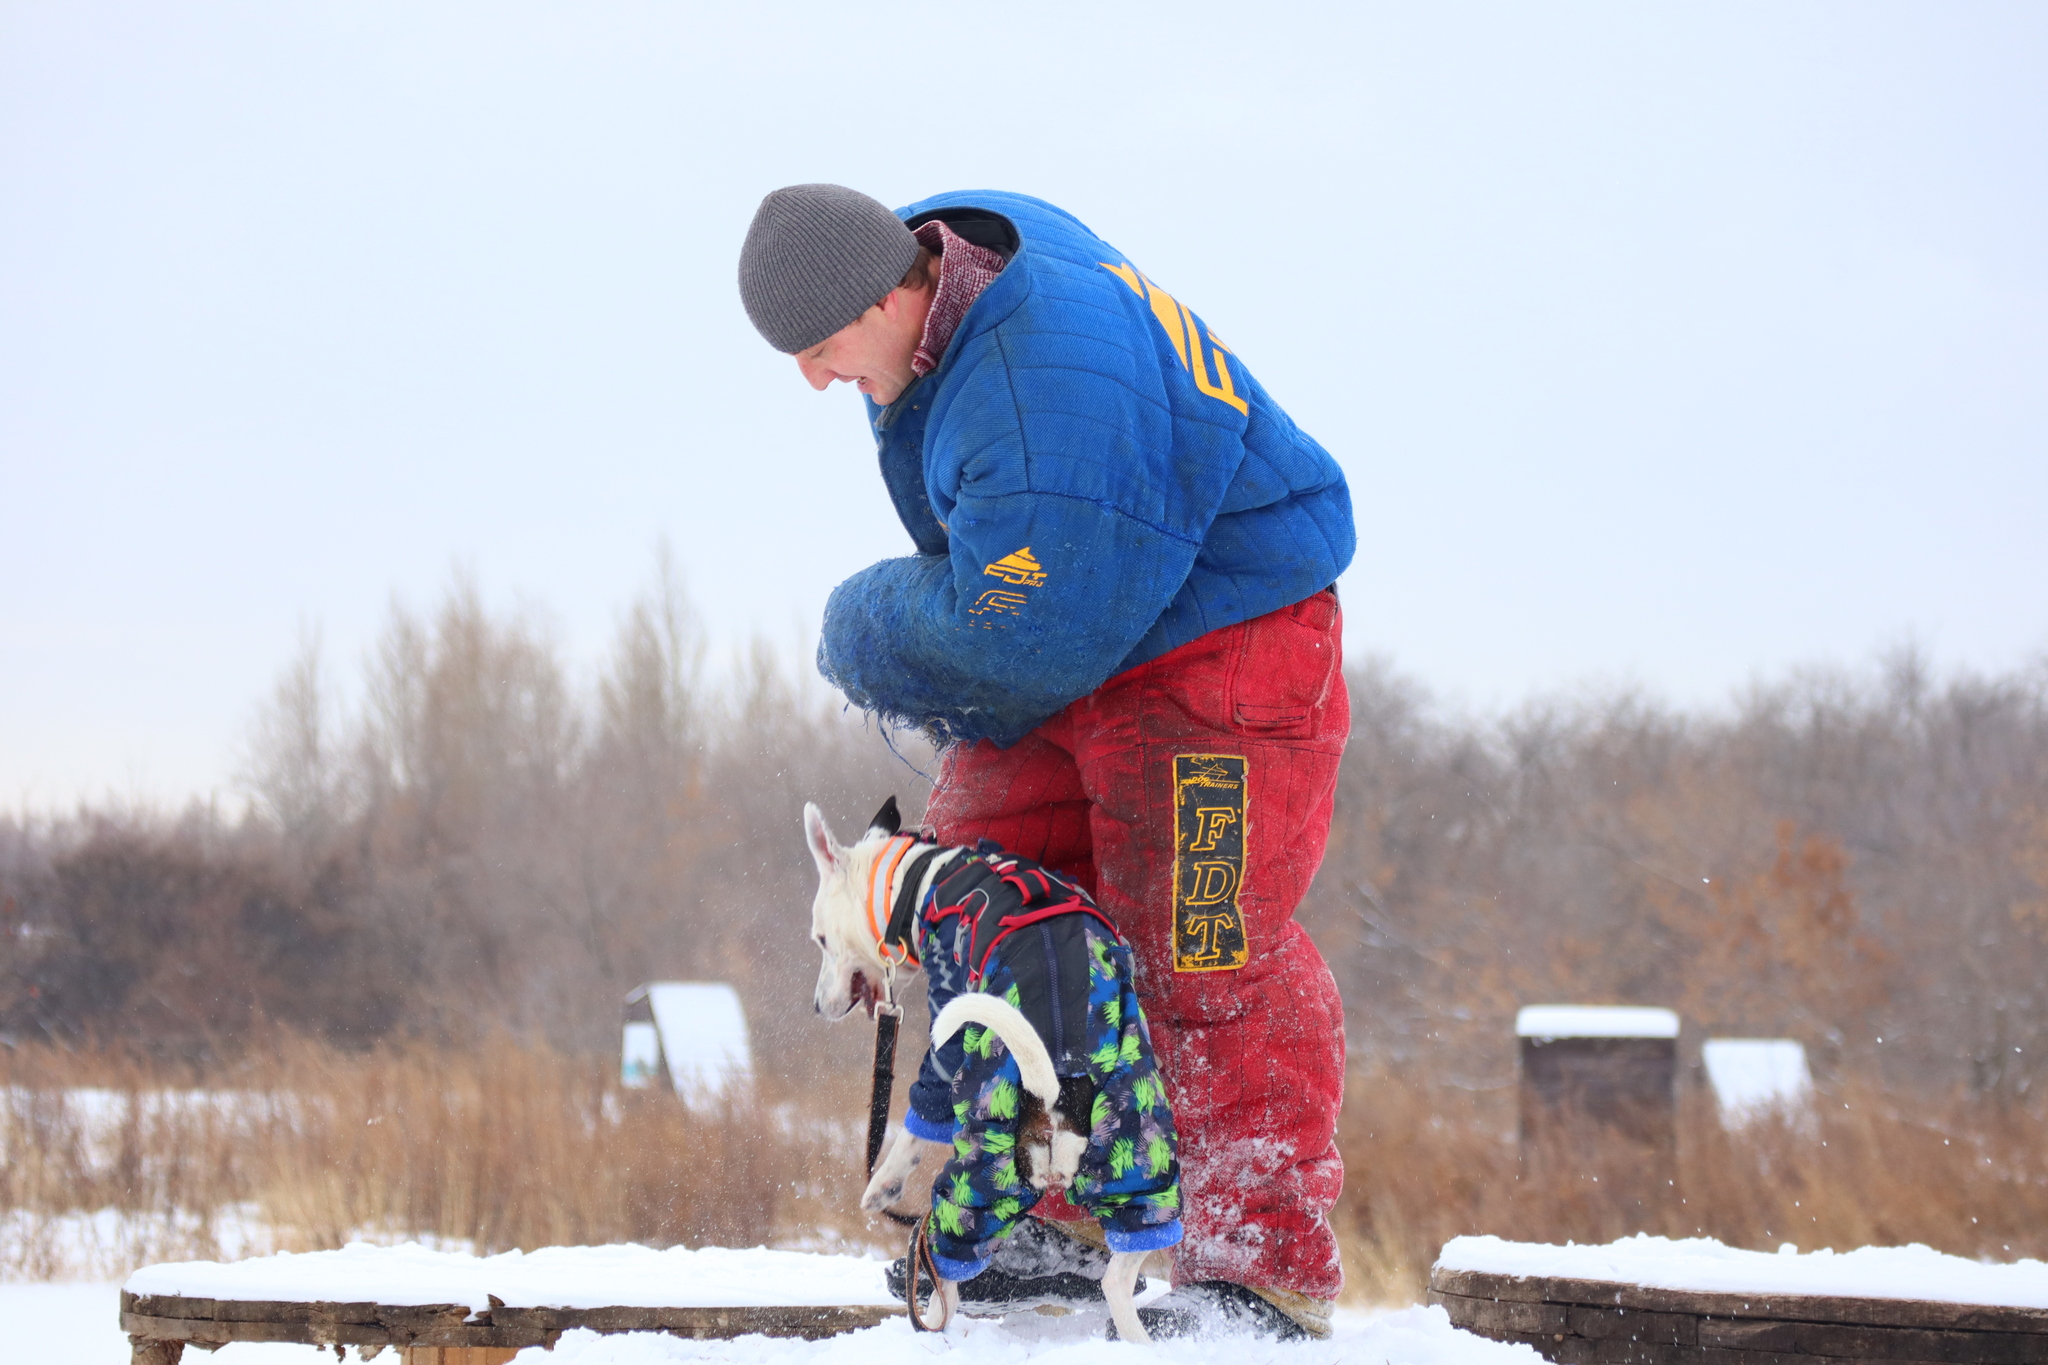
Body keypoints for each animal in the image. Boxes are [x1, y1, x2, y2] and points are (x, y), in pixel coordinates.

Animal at [798, 802, 1155, 1342]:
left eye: (821, 938)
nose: (819, 1007)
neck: (919, 877)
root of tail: (1054, 1090)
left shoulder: (944, 1014)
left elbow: (920, 1114)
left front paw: (883, 1184)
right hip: (1135, 1149)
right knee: (1119, 1273)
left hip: (980, 1168)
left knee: (946, 1271)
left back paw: (933, 1322)